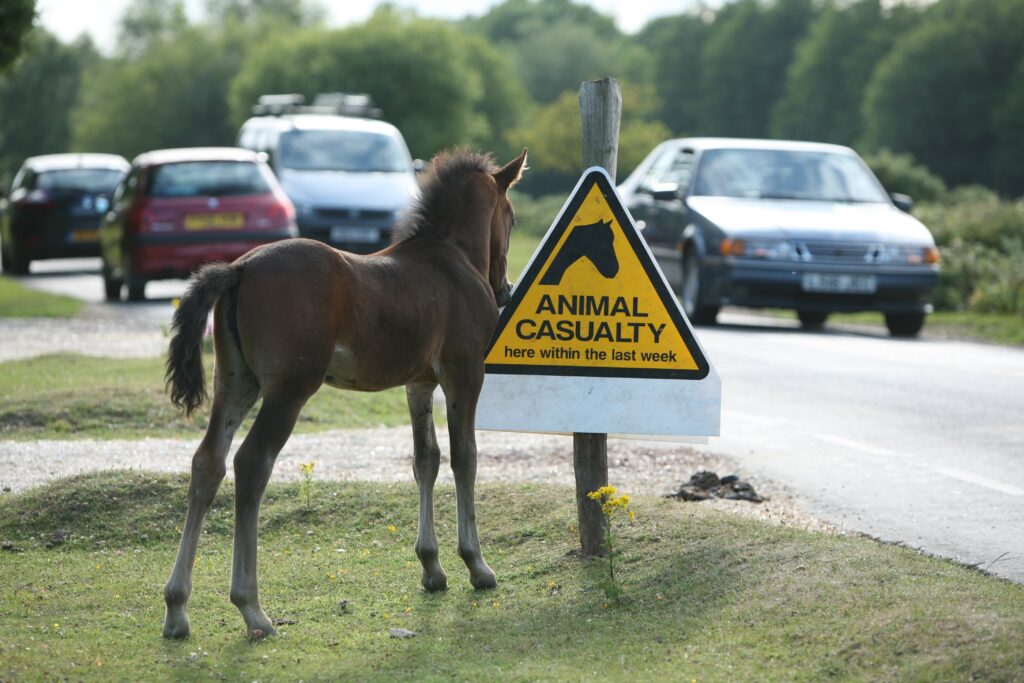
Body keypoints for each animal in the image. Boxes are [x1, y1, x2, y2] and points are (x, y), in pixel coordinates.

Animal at [161, 148, 528, 640]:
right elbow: (464, 458)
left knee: (207, 464)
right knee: (251, 464)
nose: (505, 289)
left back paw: (177, 608)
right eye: (512, 217)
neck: (450, 258)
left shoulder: (418, 382)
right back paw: (251, 607)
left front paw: (432, 568)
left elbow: (425, 459)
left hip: (236, 383)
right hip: (289, 389)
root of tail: (240, 268)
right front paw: (476, 565)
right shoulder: (464, 373)